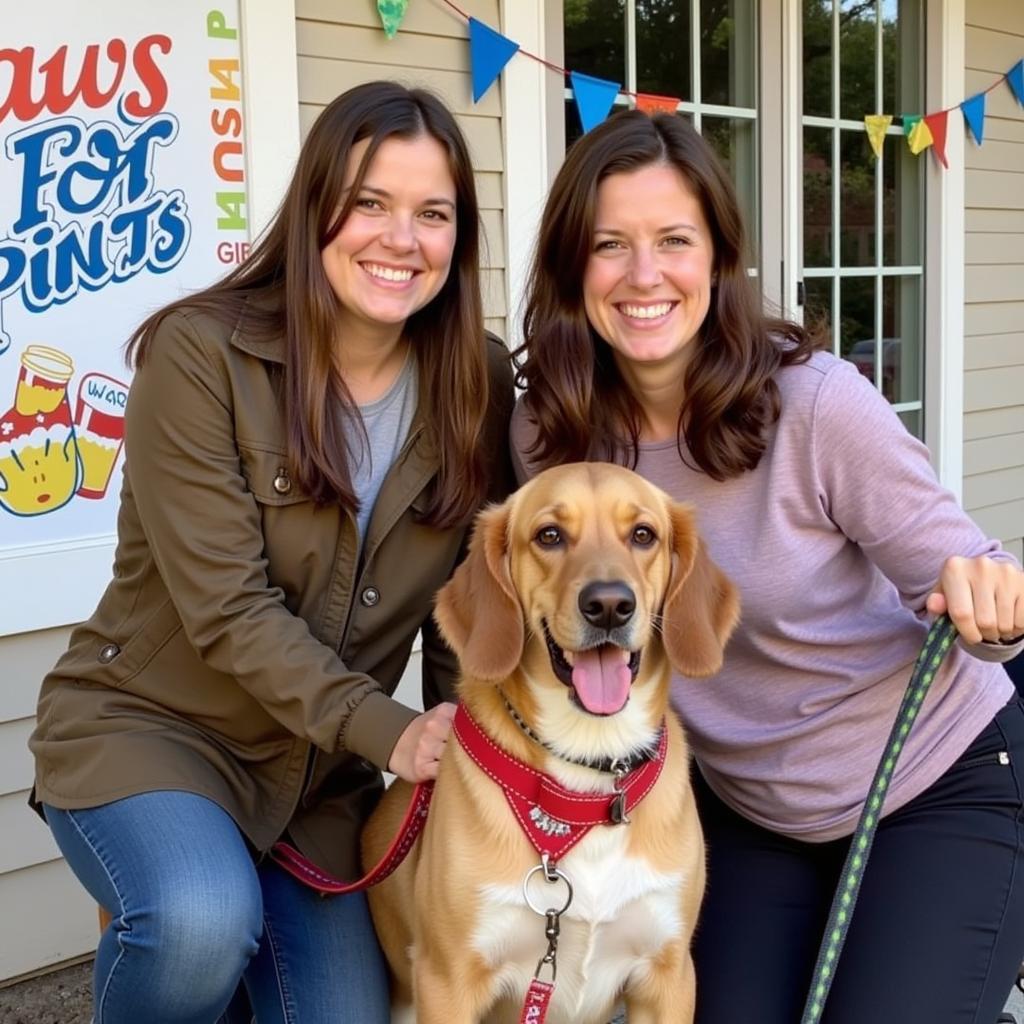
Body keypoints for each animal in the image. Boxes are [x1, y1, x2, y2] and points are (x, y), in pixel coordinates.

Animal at [364, 464, 741, 1024]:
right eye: (549, 536)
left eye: (643, 535)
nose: (609, 605)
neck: (591, 772)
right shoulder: (448, 980)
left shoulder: (667, 976)